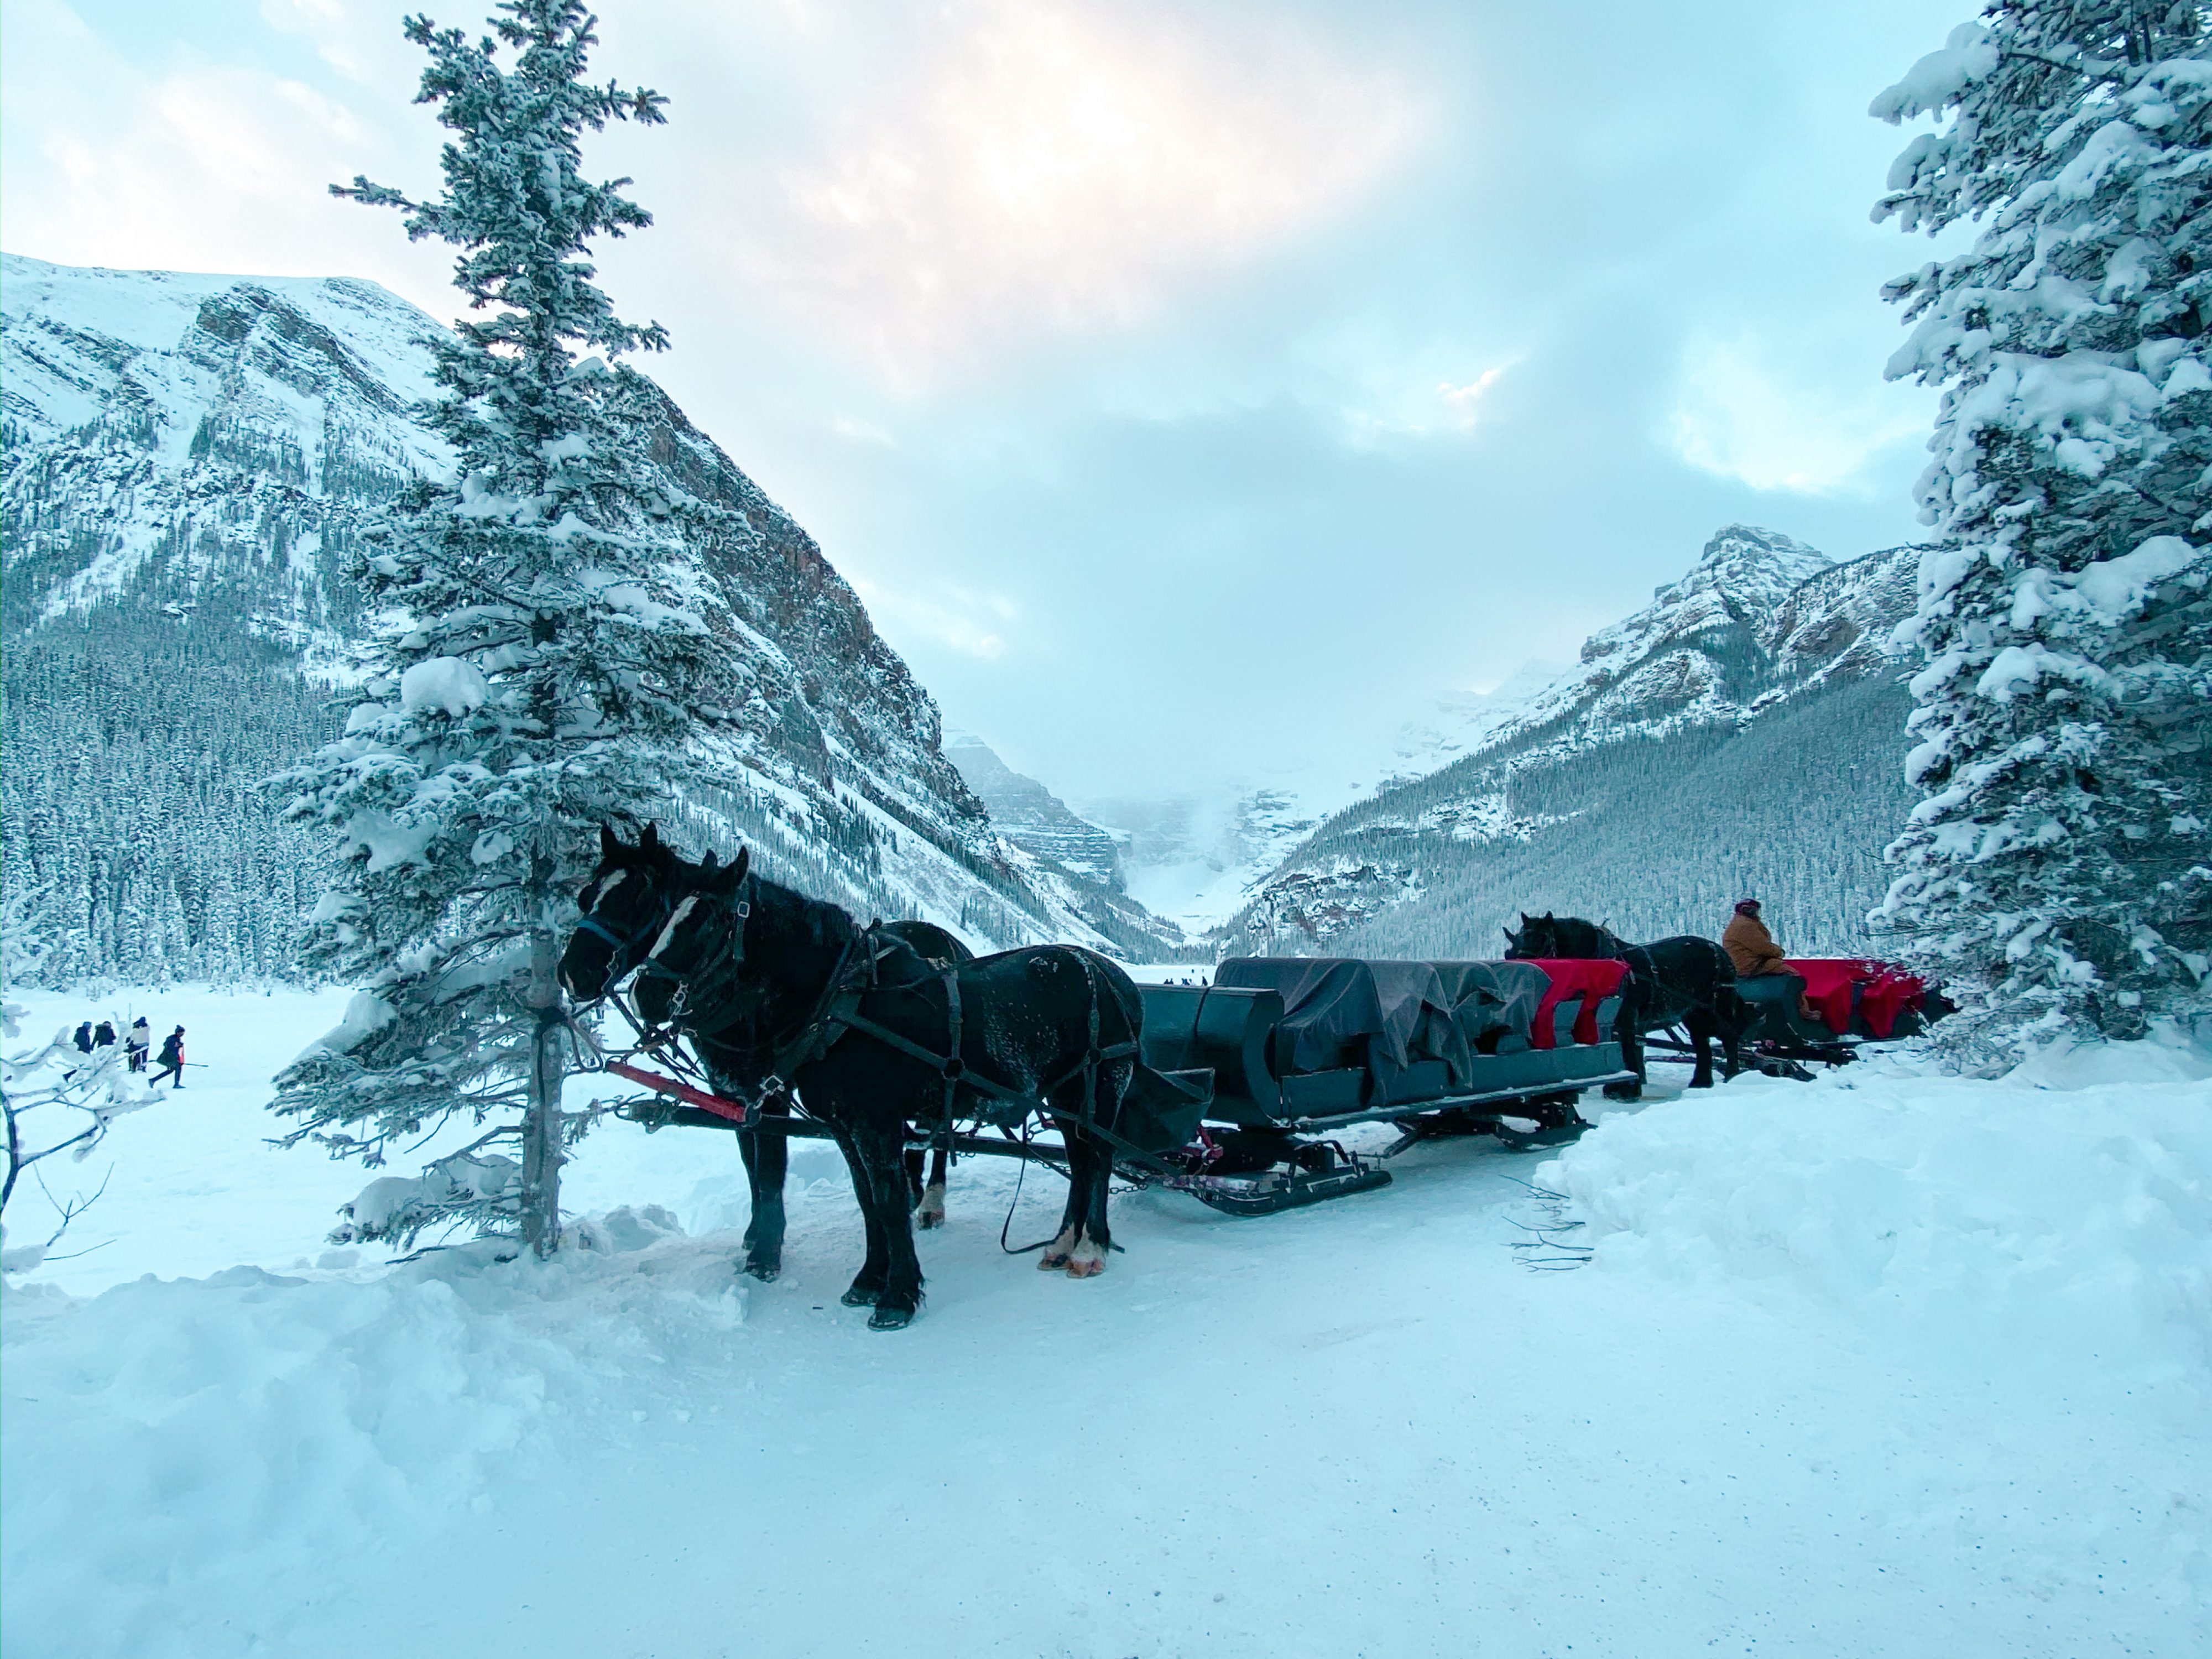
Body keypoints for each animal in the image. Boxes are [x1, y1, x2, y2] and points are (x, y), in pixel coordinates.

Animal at [557, 827, 1141, 1336]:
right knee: (1080, 1161)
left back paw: (1089, 1250)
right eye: (588, 895)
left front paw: (896, 1296)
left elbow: (876, 1197)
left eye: (706, 923)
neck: (840, 1004)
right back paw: (1061, 1244)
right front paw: (867, 1280)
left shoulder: (867, 1122)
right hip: (1063, 1098)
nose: (645, 994)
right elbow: (865, 1201)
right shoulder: (836, 1124)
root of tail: (1114, 976)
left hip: (1097, 1090)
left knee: (1097, 1160)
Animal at [1504, 916, 1743, 1097]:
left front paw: (1627, 1090)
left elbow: (1627, 1047)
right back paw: (1701, 1083)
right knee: (1702, 1044)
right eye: (1512, 949)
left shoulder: (1625, 1017)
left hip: (1717, 1007)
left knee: (1729, 1038)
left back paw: (1732, 1077)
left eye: (1544, 941)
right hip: (1694, 1012)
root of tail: (1722, 952)